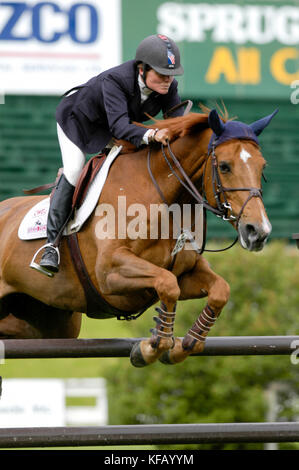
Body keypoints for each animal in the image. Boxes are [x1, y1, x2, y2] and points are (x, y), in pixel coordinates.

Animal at [0, 108, 278, 366]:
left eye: (263, 166)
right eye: (224, 166)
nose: (258, 231)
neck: (167, 202)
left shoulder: (186, 272)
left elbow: (219, 290)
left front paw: (184, 345)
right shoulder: (110, 273)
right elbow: (167, 284)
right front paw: (149, 348)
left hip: (50, 323)